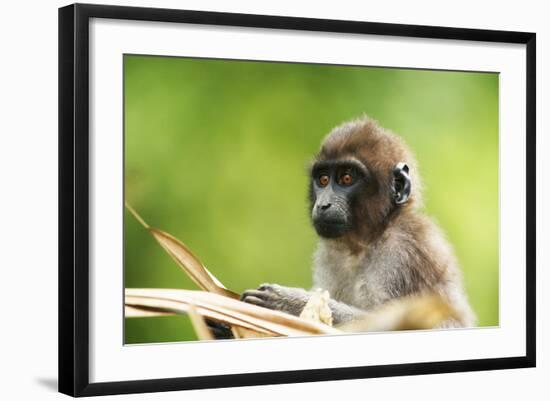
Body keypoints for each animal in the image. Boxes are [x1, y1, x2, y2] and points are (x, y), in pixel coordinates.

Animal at [242, 115, 478, 328]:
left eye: (346, 178)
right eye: (323, 180)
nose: (323, 205)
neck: (367, 241)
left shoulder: (404, 249)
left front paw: (289, 301)